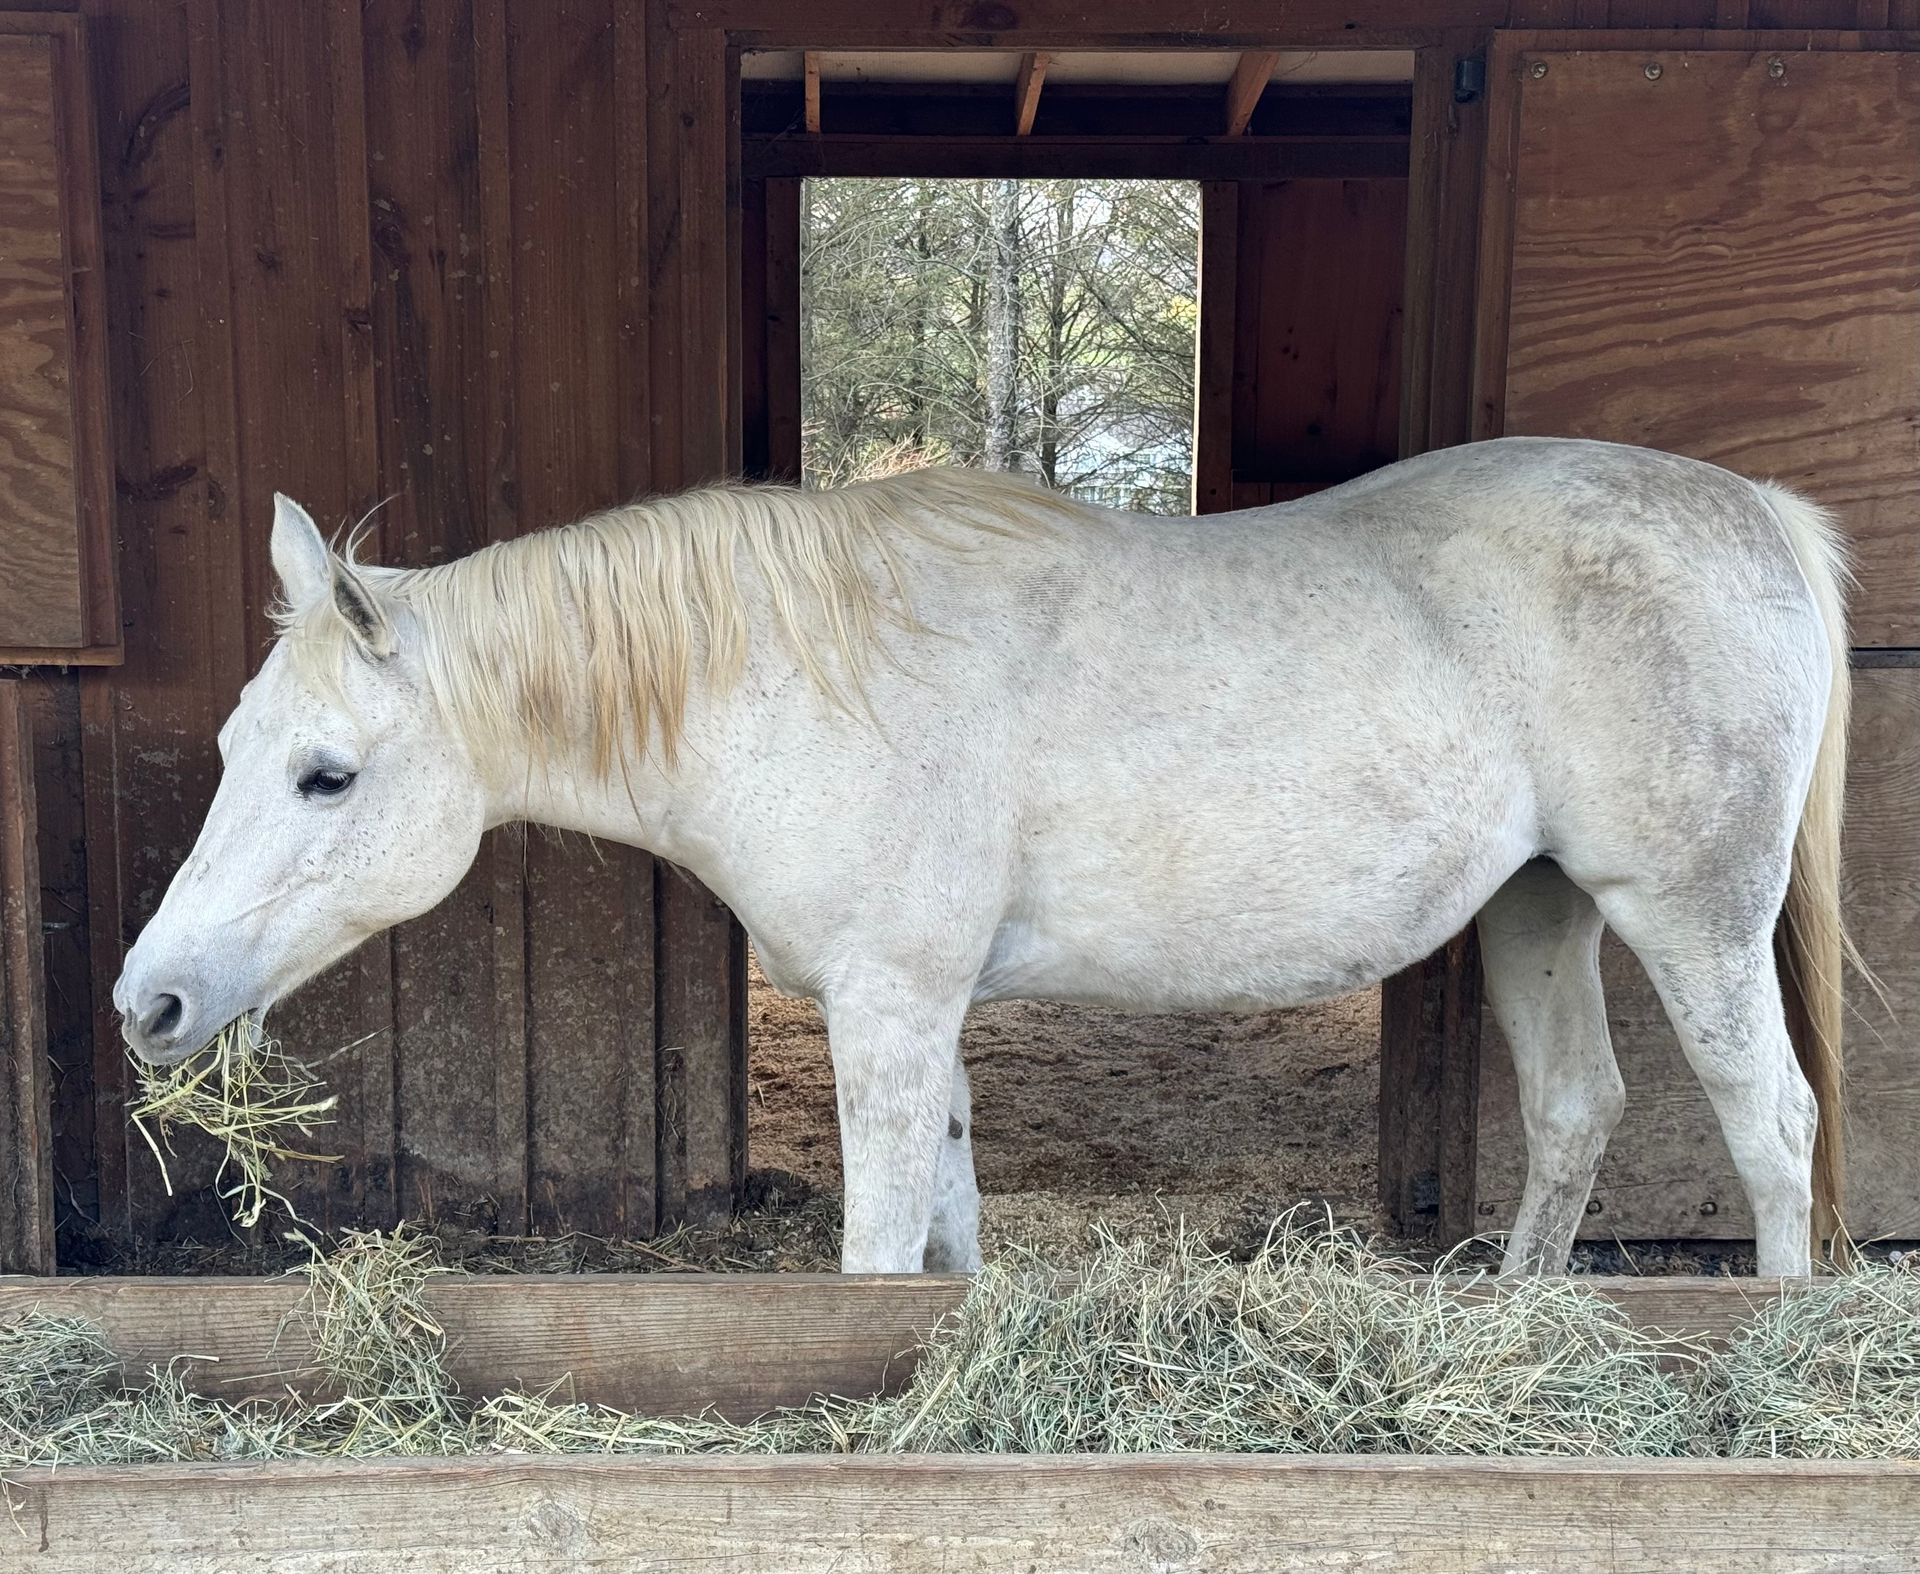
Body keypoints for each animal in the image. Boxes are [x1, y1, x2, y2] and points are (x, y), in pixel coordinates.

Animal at [114, 436, 1852, 1277]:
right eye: (237, 748)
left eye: (327, 776)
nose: (148, 1002)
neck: (796, 677)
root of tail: (1760, 513)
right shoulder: (925, 1011)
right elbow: (945, 1221)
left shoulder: (888, 1004)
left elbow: (880, 1241)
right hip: (1542, 909)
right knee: (1578, 1110)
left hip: (1689, 916)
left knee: (1772, 1121)